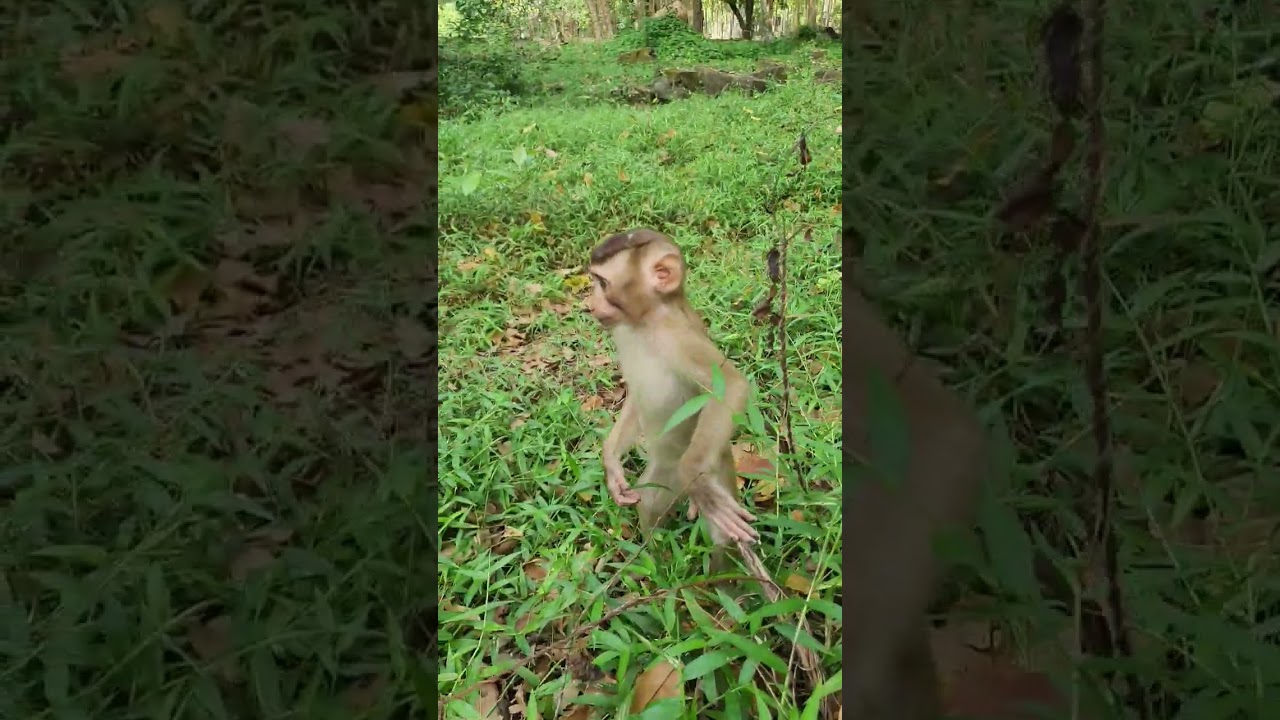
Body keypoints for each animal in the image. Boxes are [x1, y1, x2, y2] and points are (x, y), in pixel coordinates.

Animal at [584, 229, 759, 556]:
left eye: (602, 283)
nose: (589, 304)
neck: (645, 321)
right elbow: (635, 395)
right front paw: (611, 462)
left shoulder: (677, 337)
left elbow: (730, 387)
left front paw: (696, 478)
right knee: (650, 503)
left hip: (710, 463)